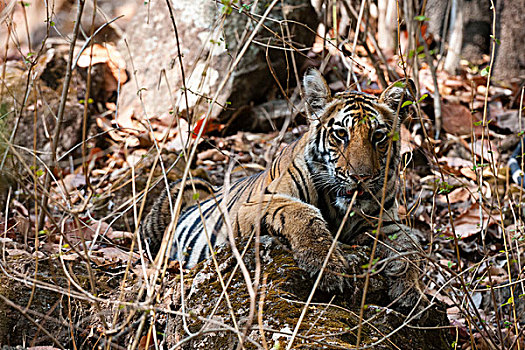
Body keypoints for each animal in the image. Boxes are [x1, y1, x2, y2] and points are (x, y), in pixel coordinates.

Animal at [141, 69, 424, 298]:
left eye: (378, 137)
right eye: (341, 134)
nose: (361, 177)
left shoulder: (385, 224)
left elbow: (409, 245)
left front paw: (411, 289)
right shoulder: (249, 207)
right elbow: (300, 211)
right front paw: (327, 267)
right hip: (183, 192)